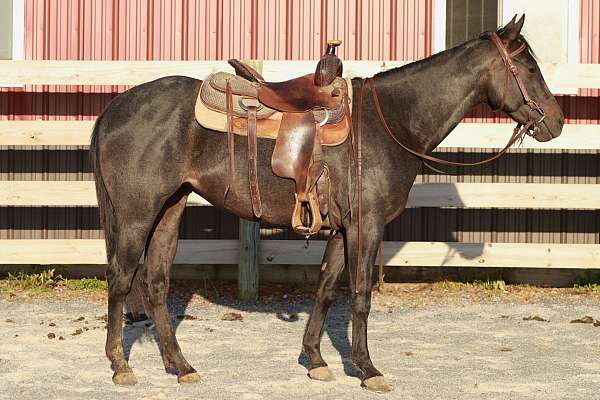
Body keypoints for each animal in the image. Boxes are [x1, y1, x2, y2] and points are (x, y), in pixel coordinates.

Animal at [89, 17, 564, 392]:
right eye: (528, 66)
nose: (557, 122)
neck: (391, 122)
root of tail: (116, 107)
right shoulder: (366, 226)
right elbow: (360, 294)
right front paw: (368, 369)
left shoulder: (342, 227)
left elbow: (325, 288)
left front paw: (315, 360)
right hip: (136, 215)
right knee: (121, 277)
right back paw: (120, 366)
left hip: (170, 208)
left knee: (155, 282)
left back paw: (181, 366)